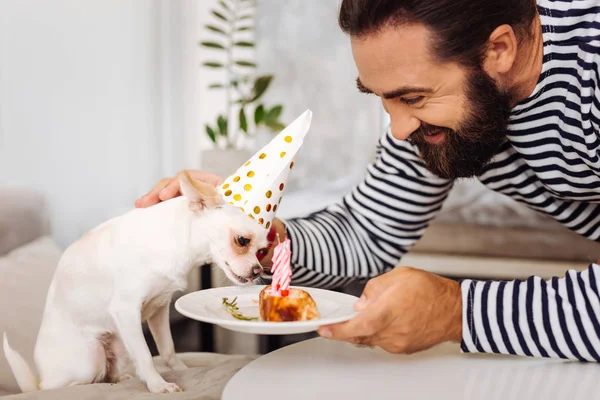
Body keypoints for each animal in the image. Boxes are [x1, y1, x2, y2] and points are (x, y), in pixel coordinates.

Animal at [1, 170, 270, 392]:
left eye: (262, 251)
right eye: (242, 241)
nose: (258, 270)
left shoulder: (159, 309)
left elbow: (167, 349)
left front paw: (181, 370)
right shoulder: (126, 310)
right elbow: (145, 354)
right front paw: (158, 385)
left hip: (120, 345)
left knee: (111, 372)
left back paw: (120, 378)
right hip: (90, 357)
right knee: (52, 387)